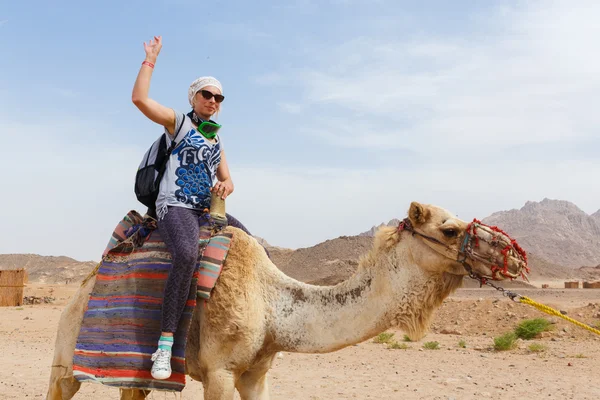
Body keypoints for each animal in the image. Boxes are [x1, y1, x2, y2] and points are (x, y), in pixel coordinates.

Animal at [45, 202, 524, 398]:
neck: (272, 305)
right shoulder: (219, 371)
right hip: (66, 359)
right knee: (61, 385)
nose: (515, 255)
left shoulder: (256, 374)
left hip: (133, 373)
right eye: (450, 228)